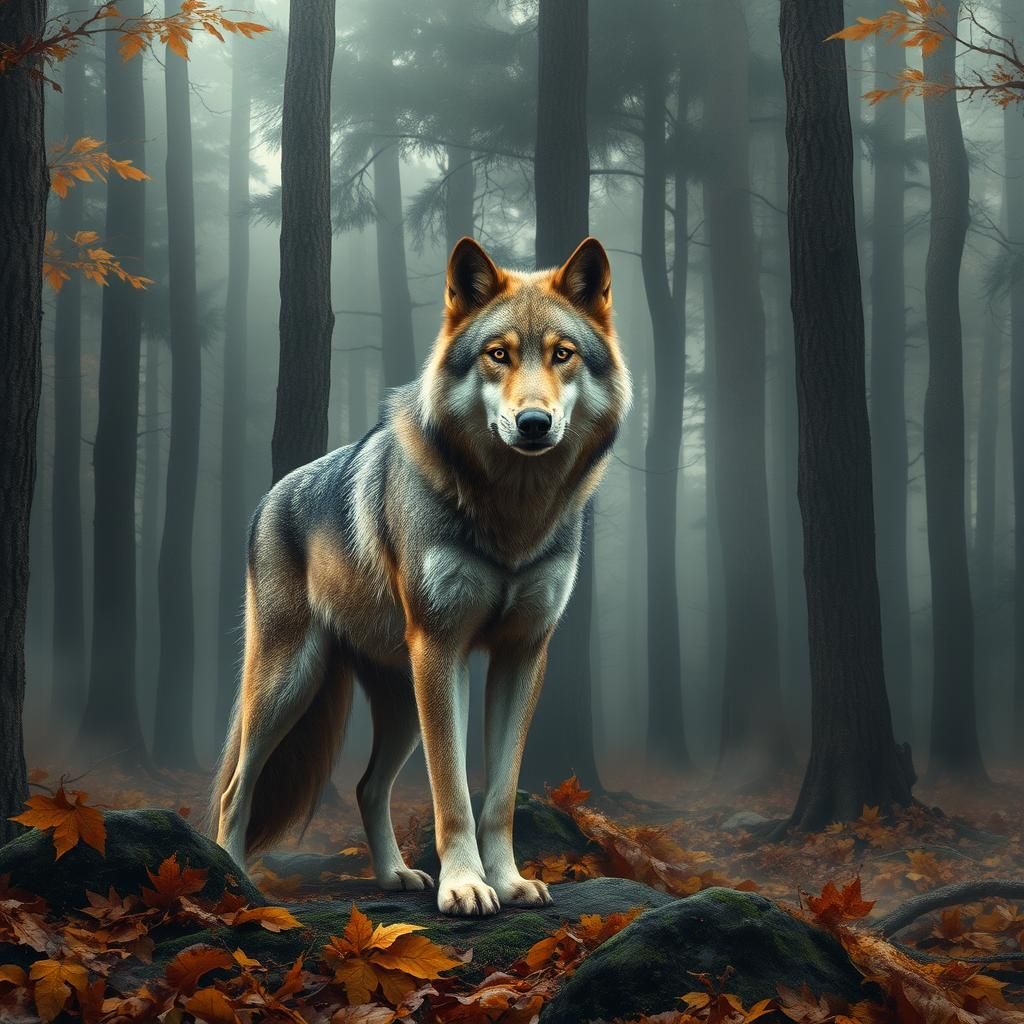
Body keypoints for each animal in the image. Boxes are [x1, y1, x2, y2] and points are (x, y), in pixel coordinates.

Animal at [211, 236, 631, 916]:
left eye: (562, 355)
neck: (513, 516)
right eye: (497, 355)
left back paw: (393, 876)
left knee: (366, 786)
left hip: (398, 702)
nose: (533, 423)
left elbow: (499, 795)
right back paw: (233, 883)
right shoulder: (441, 648)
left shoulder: (522, 654)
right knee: (235, 787)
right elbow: (452, 791)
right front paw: (466, 886)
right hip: (289, 683)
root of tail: (268, 498)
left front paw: (508, 882)